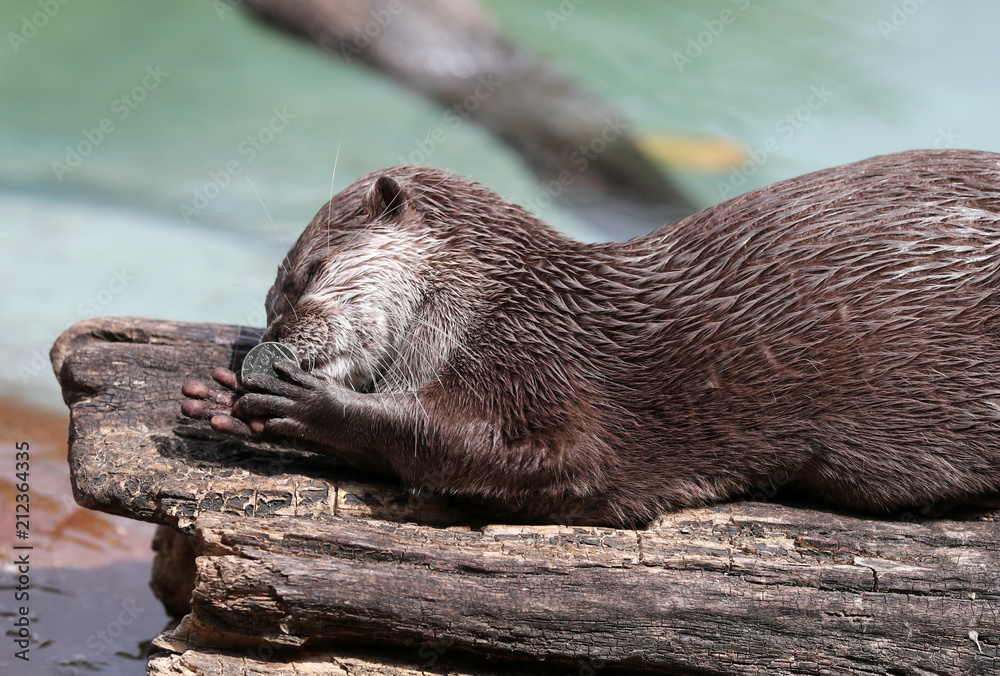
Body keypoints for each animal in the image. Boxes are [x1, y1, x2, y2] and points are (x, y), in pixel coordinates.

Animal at [182, 149, 1000, 527]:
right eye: (267, 296)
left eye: (309, 272)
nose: (277, 333)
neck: (507, 300)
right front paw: (216, 397)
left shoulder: (542, 362)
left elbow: (537, 459)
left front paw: (304, 402)